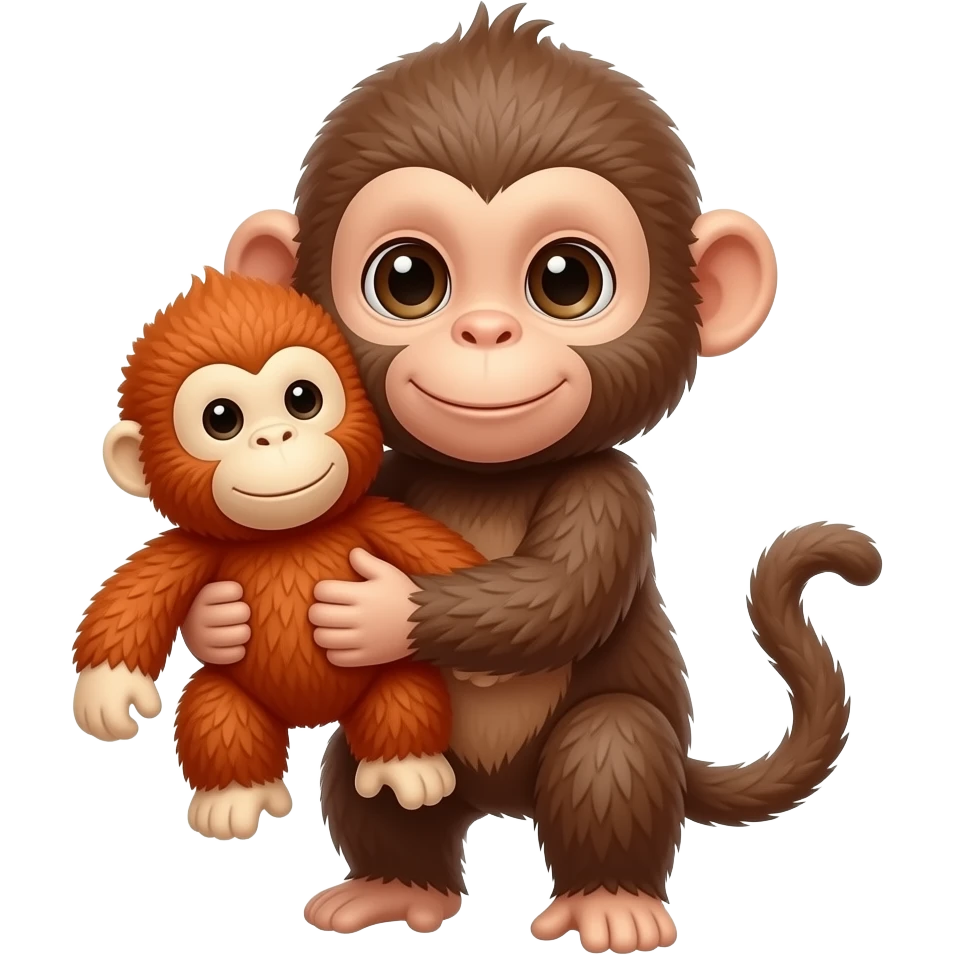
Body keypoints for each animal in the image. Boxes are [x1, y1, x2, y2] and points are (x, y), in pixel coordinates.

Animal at [72, 267, 488, 841]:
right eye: (221, 418)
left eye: (302, 398)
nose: (275, 436)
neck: (287, 537)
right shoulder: (187, 551)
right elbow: (137, 594)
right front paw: (107, 692)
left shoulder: (377, 519)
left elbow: (438, 555)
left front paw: (484, 669)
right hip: (228, 705)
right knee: (217, 716)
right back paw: (234, 802)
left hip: (392, 682)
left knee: (405, 698)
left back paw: (407, 769)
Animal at [178, 3, 884, 950]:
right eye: (407, 278)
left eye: (566, 279)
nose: (484, 331)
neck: (492, 478)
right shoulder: (389, 477)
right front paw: (218, 617)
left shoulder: (613, 494)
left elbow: (558, 594)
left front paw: (380, 610)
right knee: (373, 784)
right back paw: (394, 888)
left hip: (617, 752)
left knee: (611, 746)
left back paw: (610, 904)